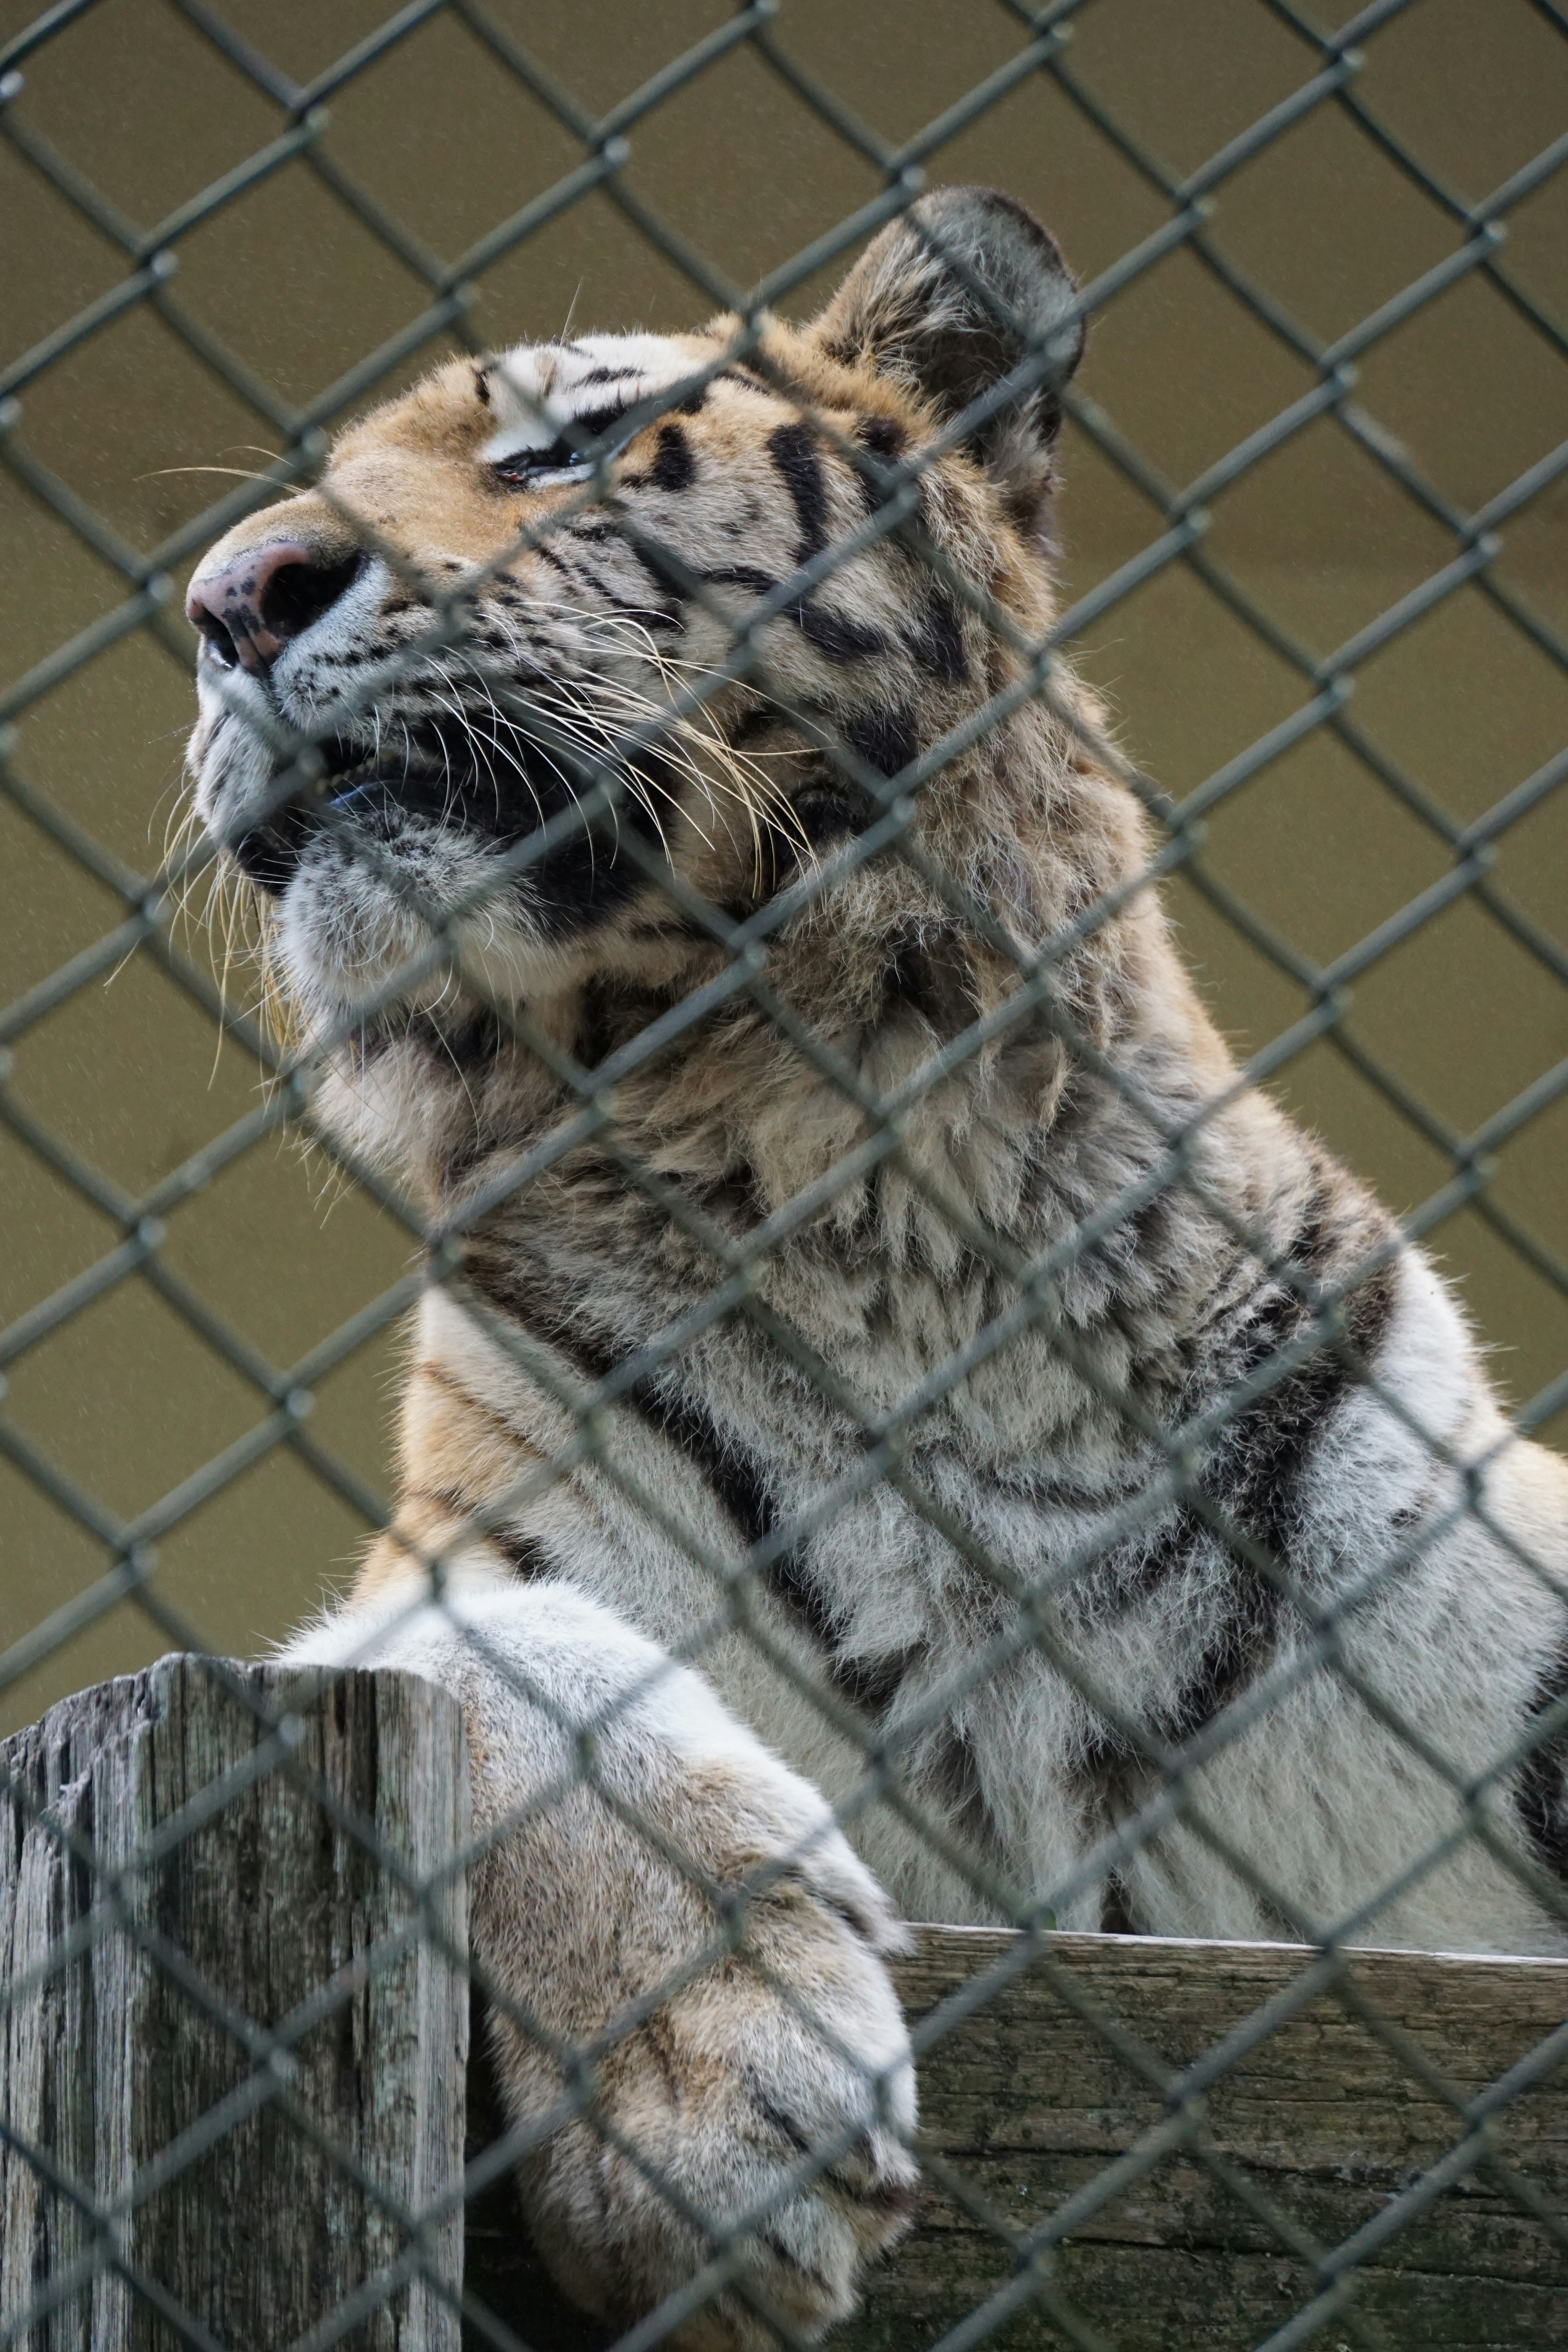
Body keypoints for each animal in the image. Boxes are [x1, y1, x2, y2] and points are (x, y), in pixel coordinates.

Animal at [184, 188, 1568, 2352]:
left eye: (569, 446)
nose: (232, 599)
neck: (879, 1194)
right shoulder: (442, 1580)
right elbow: (513, 1665)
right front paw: (732, 2096)